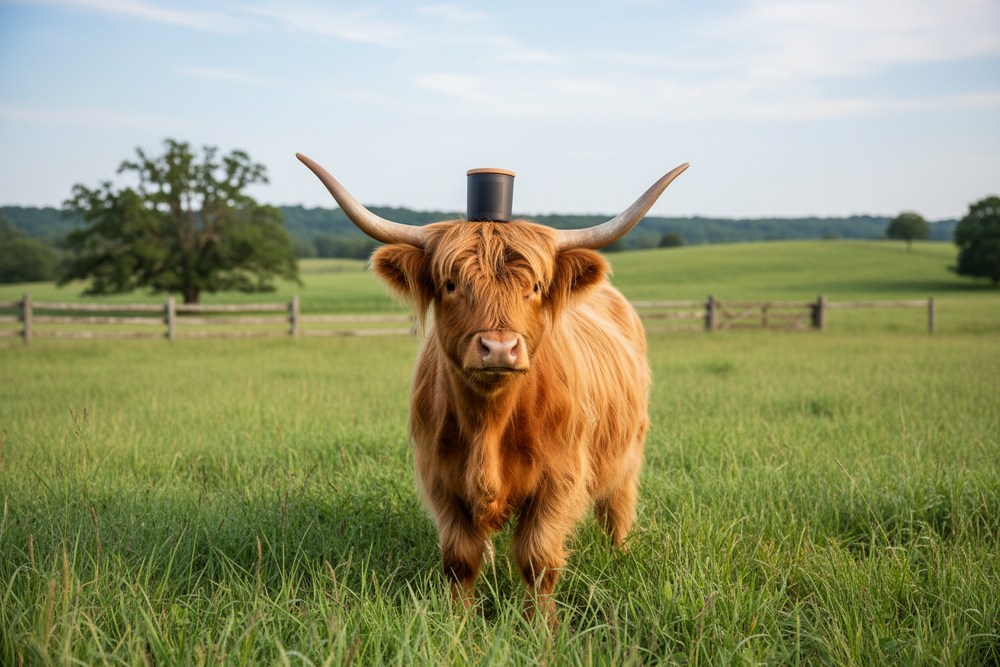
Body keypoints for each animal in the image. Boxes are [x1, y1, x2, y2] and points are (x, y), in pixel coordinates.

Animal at [297, 153, 688, 621]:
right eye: (451, 283)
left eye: (534, 287)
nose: (499, 348)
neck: (490, 420)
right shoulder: (440, 479)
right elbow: (460, 559)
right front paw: (458, 622)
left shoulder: (559, 480)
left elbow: (538, 559)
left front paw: (540, 627)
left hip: (627, 455)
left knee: (618, 511)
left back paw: (620, 557)